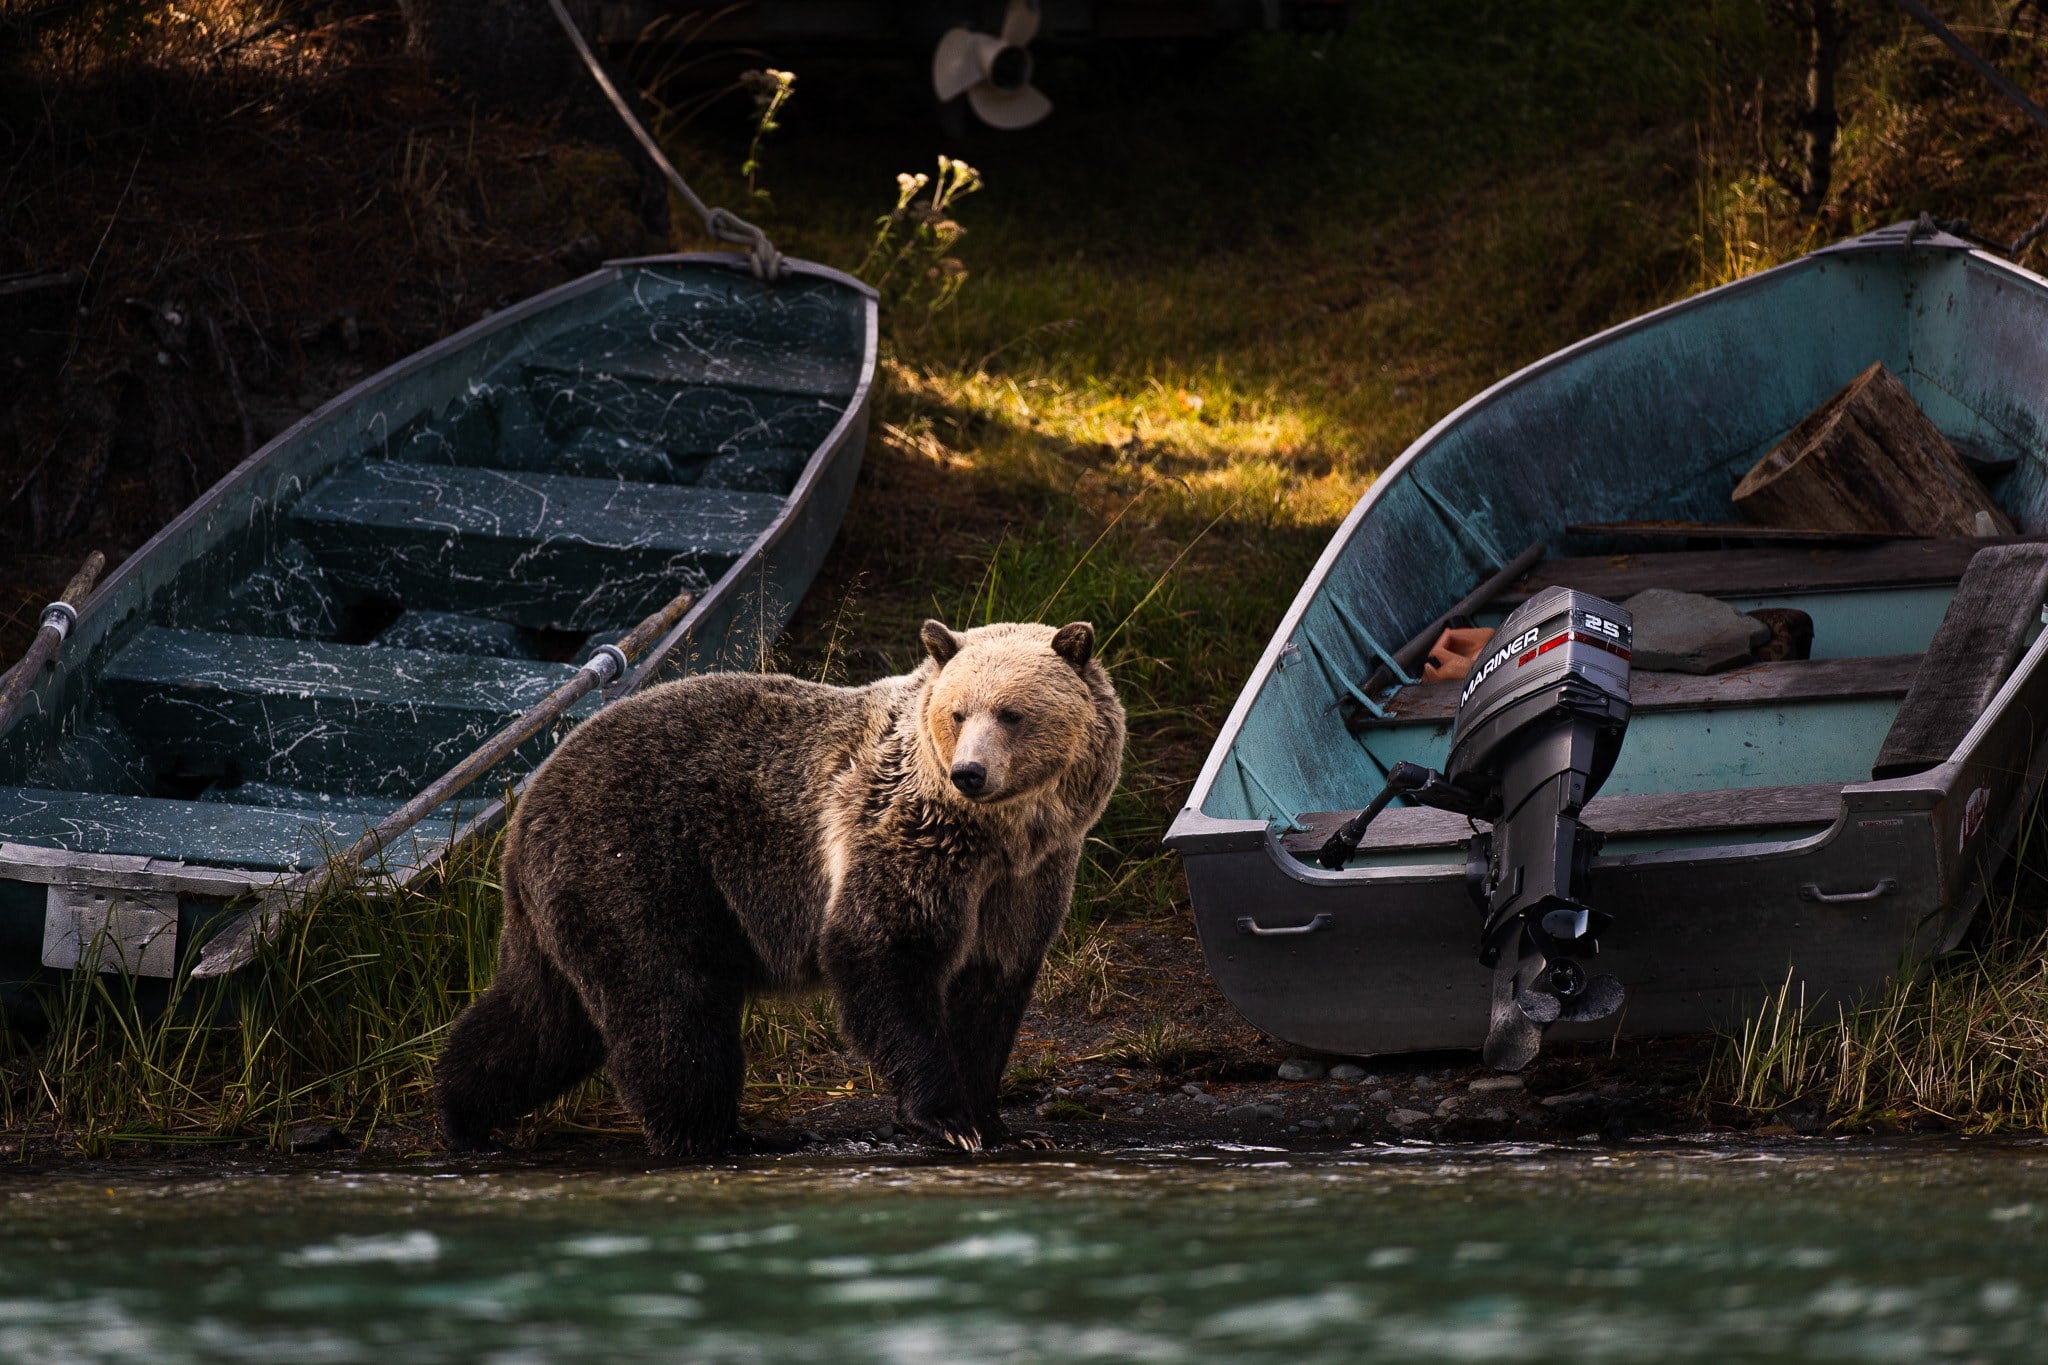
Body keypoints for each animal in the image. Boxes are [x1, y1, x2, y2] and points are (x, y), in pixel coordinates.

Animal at [433, 617, 1125, 1156]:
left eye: (1012, 712)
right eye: (958, 713)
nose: (969, 773)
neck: (999, 834)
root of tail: (526, 802)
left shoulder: (1024, 880)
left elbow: (991, 989)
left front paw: (1001, 1124)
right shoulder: (906, 842)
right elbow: (882, 952)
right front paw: (950, 1119)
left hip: (569, 897)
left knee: (544, 1019)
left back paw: (462, 1112)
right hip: (634, 862)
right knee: (670, 1005)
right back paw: (720, 1136)